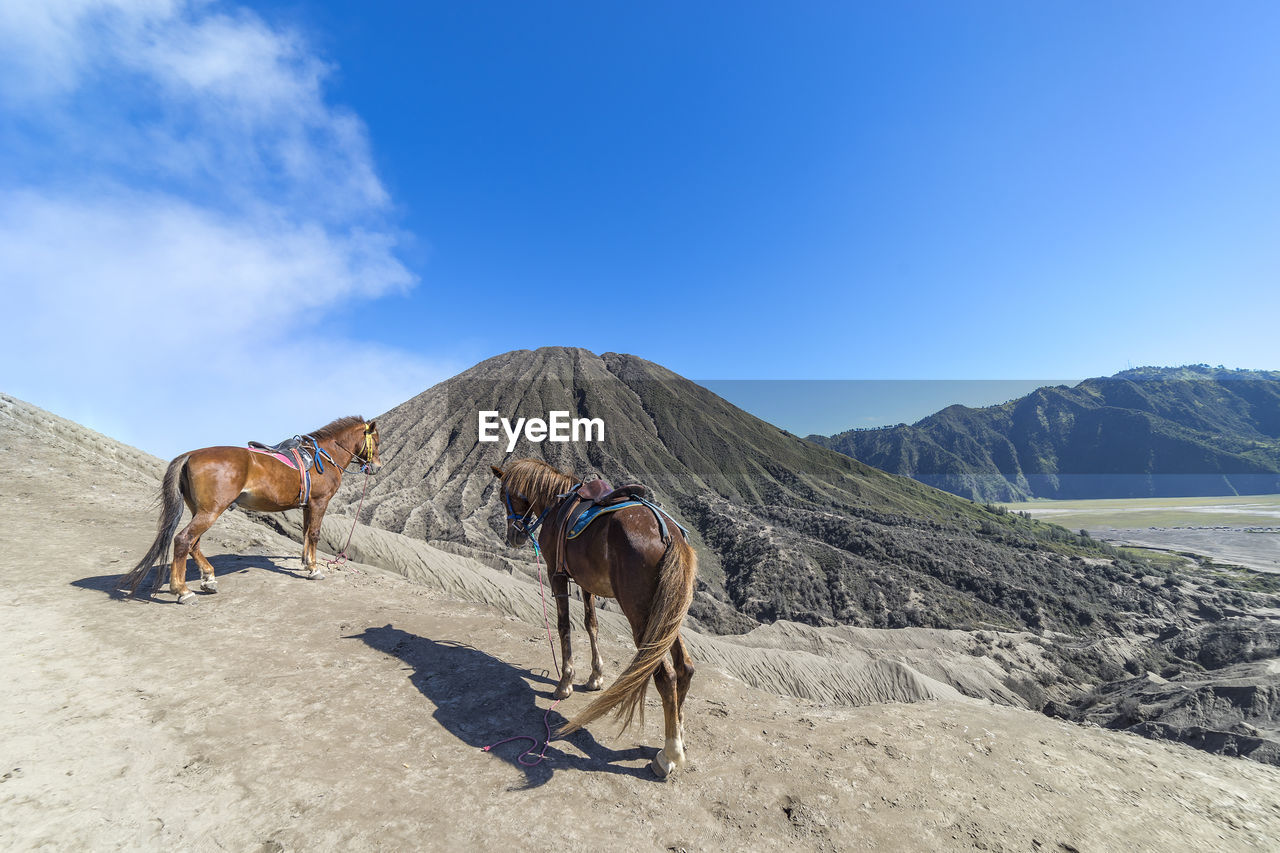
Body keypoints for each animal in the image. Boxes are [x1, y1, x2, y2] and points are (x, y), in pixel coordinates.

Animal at [118, 414, 381, 601]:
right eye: (376, 442)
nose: (377, 467)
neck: (323, 456)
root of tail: (190, 455)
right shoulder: (319, 502)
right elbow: (314, 534)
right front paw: (314, 570)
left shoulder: (307, 506)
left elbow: (306, 534)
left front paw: (306, 562)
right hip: (211, 511)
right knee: (183, 540)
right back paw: (182, 590)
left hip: (200, 510)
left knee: (194, 543)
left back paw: (208, 578)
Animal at [491, 458, 701, 778]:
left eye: (506, 496)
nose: (514, 536)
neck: (556, 504)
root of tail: (670, 536)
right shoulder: (586, 582)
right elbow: (592, 624)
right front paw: (595, 677)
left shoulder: (556, 574)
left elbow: (564, 625)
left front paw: (565, 682)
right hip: (666, 612)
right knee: (685, 667)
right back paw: (679, 734)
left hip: (641, 615)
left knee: (666, 675)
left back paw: (669, 755)